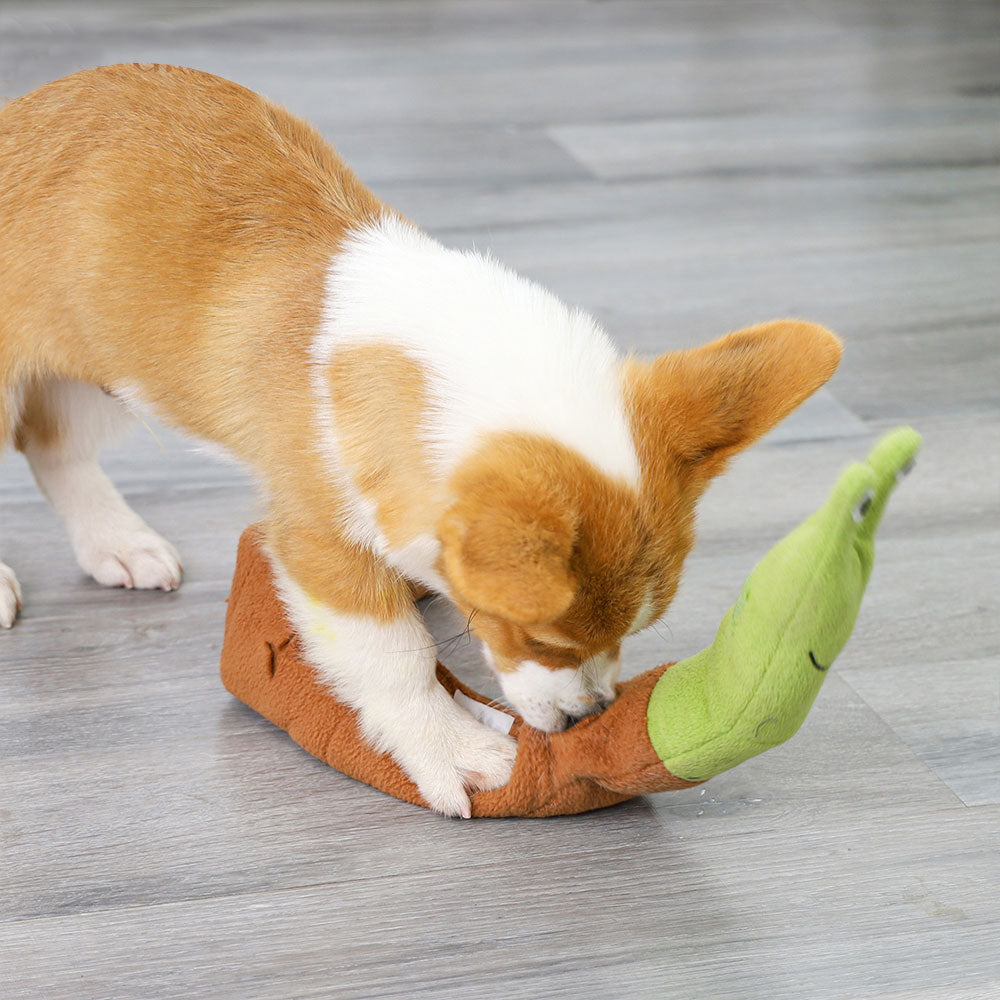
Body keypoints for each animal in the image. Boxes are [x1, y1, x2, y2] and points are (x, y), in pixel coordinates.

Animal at [0, 62, 844, 816]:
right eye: (536, 636)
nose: (588, 719)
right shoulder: (318, 542)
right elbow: (394, 654)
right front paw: (449, 747)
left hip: (105, 372)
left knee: (53, 445)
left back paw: (118, 542)